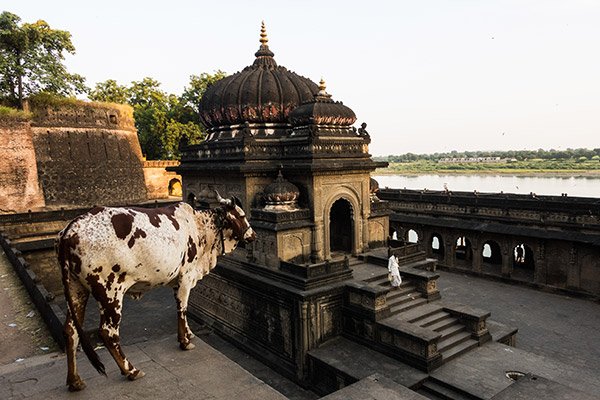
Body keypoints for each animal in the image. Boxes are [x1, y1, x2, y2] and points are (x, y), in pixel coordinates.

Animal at [58, 194, 258, 390]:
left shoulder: (178, 282)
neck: (199, 226)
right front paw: (184, 341)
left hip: (77, 290)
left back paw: (74, 380)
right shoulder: (186, 276)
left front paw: (188, 334)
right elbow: (182, 309)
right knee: (108, 332)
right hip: (110, 293)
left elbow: (180, 308)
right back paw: (131, 371)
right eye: (241, 215)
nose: (253, 235)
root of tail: (70, 231)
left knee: (71, 330)